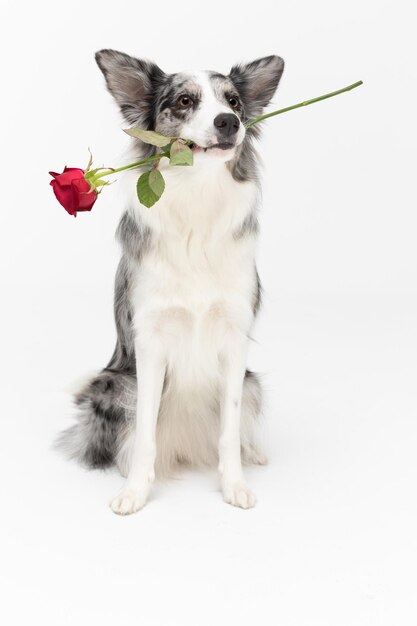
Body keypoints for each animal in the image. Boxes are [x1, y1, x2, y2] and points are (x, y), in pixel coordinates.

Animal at [58, 50, 284, 512]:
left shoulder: (234, 338)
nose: (229, 123)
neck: (198, 195)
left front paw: (235, 484)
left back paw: (254, 452)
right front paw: (135, 491)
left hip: (252, 381)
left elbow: (229, 428)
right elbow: (145, 432)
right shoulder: (150, 340)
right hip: (113, 383)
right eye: (184, 100)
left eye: (234, 102)